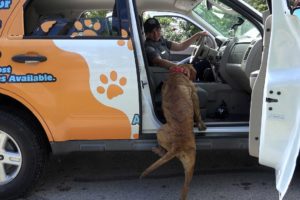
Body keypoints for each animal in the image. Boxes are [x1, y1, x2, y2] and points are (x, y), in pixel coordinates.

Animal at [141, 63, 206, 200]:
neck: (178, 72)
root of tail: (177, 146)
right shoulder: (194, 95)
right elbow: (198, 112)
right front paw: (201, 124)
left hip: (163, 135)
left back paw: (158, 150)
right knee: (186, 187)